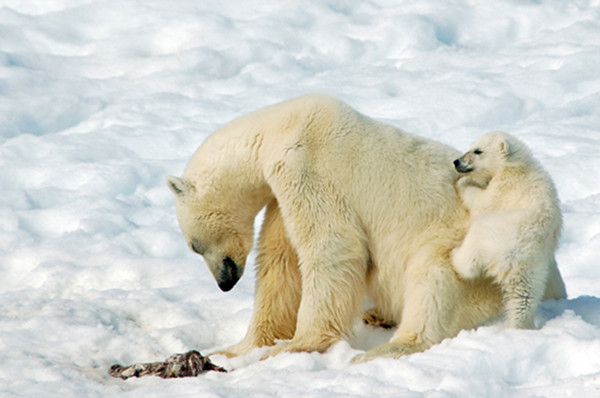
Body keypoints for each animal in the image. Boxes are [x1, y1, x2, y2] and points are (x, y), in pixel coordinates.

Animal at [166, 95, 564, 362]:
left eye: (194, 245)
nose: (224, 282)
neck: (276, 129)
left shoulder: (306, 168)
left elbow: (331, 247)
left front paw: (299, 344)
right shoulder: (281, 194)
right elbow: (281, 261)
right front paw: (236, 349)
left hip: (472, 252)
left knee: (432, 279)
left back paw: (388, 346)